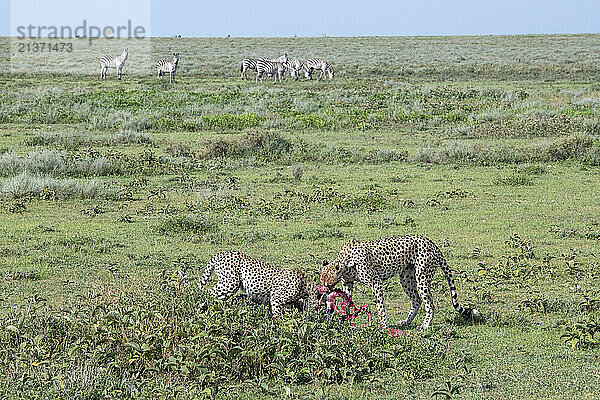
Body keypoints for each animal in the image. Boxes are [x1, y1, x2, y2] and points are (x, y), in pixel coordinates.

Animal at [318, 236, 478, 330]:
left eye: (328, 284)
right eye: (322, 282)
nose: (324, 292)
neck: (346, 262)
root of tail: (432, 243)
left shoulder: (376, 283)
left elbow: (380, 308)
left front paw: (384, 326)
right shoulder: (347, 284)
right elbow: (346, 302)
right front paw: (343, 319)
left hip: (422, 278)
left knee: (430, 305)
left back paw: (425, 325)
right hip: (406, 279)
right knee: (416, 300)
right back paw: (406, 322)